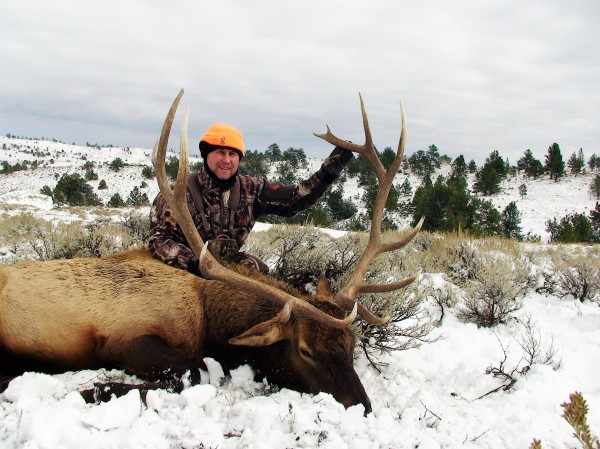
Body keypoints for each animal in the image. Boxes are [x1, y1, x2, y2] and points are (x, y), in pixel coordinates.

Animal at [0, 88, 422, 412]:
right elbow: (192, 373)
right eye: (305, 350)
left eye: (350, 346)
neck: (208, 318)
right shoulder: (124, 334)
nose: (362, 406)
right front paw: (97, 388)